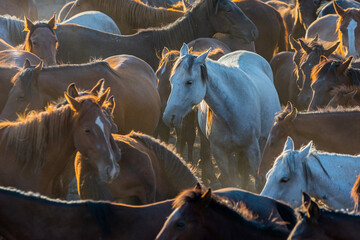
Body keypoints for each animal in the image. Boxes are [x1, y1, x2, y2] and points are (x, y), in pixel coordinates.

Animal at [163, 44, 282, 188]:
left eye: (189, 82)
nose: (168, 116)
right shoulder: (220, 152)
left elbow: (258, 181)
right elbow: (229, 180)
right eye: (171, 80)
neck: (230, 109)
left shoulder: (253, 149)